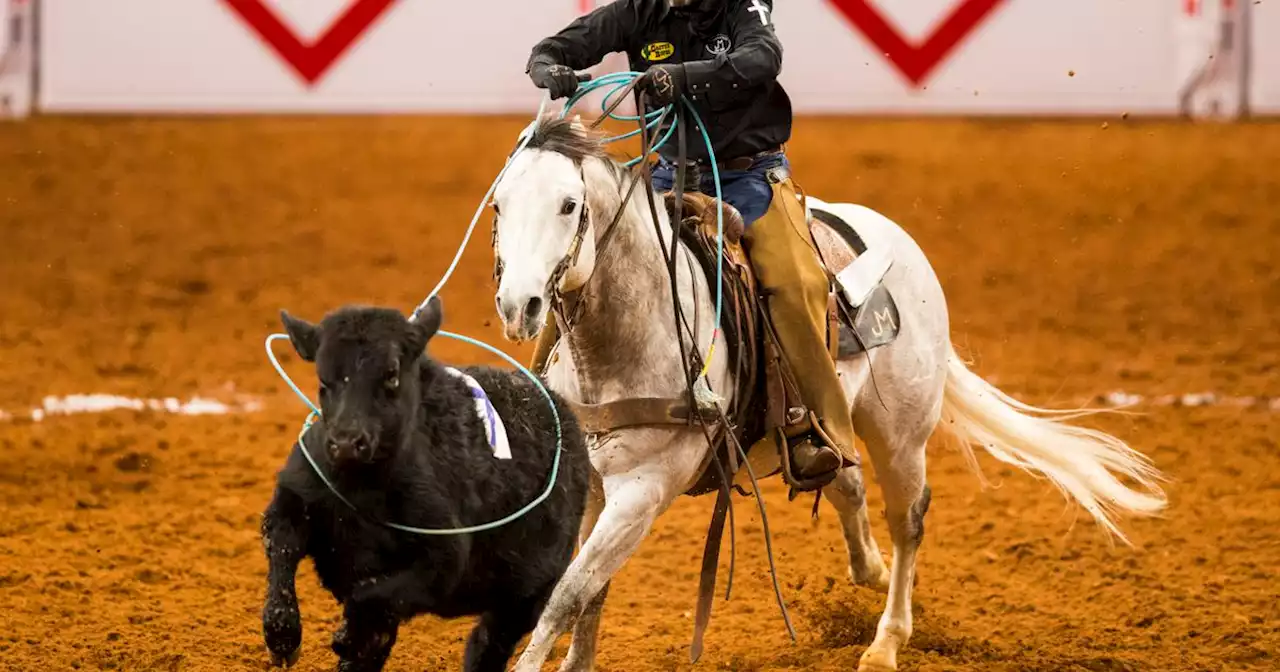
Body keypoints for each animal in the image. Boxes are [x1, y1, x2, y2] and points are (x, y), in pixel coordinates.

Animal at [264, 298, 593, 670]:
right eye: (323, 379)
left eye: (391, 375)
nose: (347, 442)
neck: (361, 488)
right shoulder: (293, 499)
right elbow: (282, 551)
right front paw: (283, 636)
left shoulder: (443, 561)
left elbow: (368, 595)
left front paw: (347, 635)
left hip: (527, 596)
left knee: (488, 643)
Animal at [483, 117, 1167, 665]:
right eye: (498, 206)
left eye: (569, 204)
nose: (520, 306)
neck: (629, 334)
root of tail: (898, 244)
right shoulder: (596, 484)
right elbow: (586, 596)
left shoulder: (644, 490)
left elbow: (568, 595)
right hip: (827, 423)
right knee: (845, 483)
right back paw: (870, 570)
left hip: (902, 433)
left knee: (908, 518)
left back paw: (886, 641)